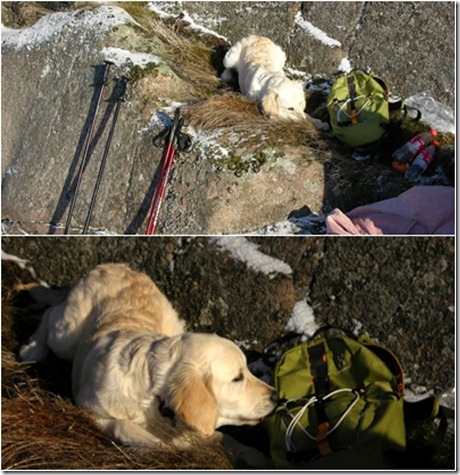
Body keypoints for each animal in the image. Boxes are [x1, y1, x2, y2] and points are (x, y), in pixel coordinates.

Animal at [20, 266, 276, 466]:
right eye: (237, 378)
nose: (276, 396)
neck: (155, 401)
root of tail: (114, 265)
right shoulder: (92, 409)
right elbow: (126, 427)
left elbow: (223, 438)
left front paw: (253, 455)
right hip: (66, 336)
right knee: (50, 314)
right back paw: (32, 349)